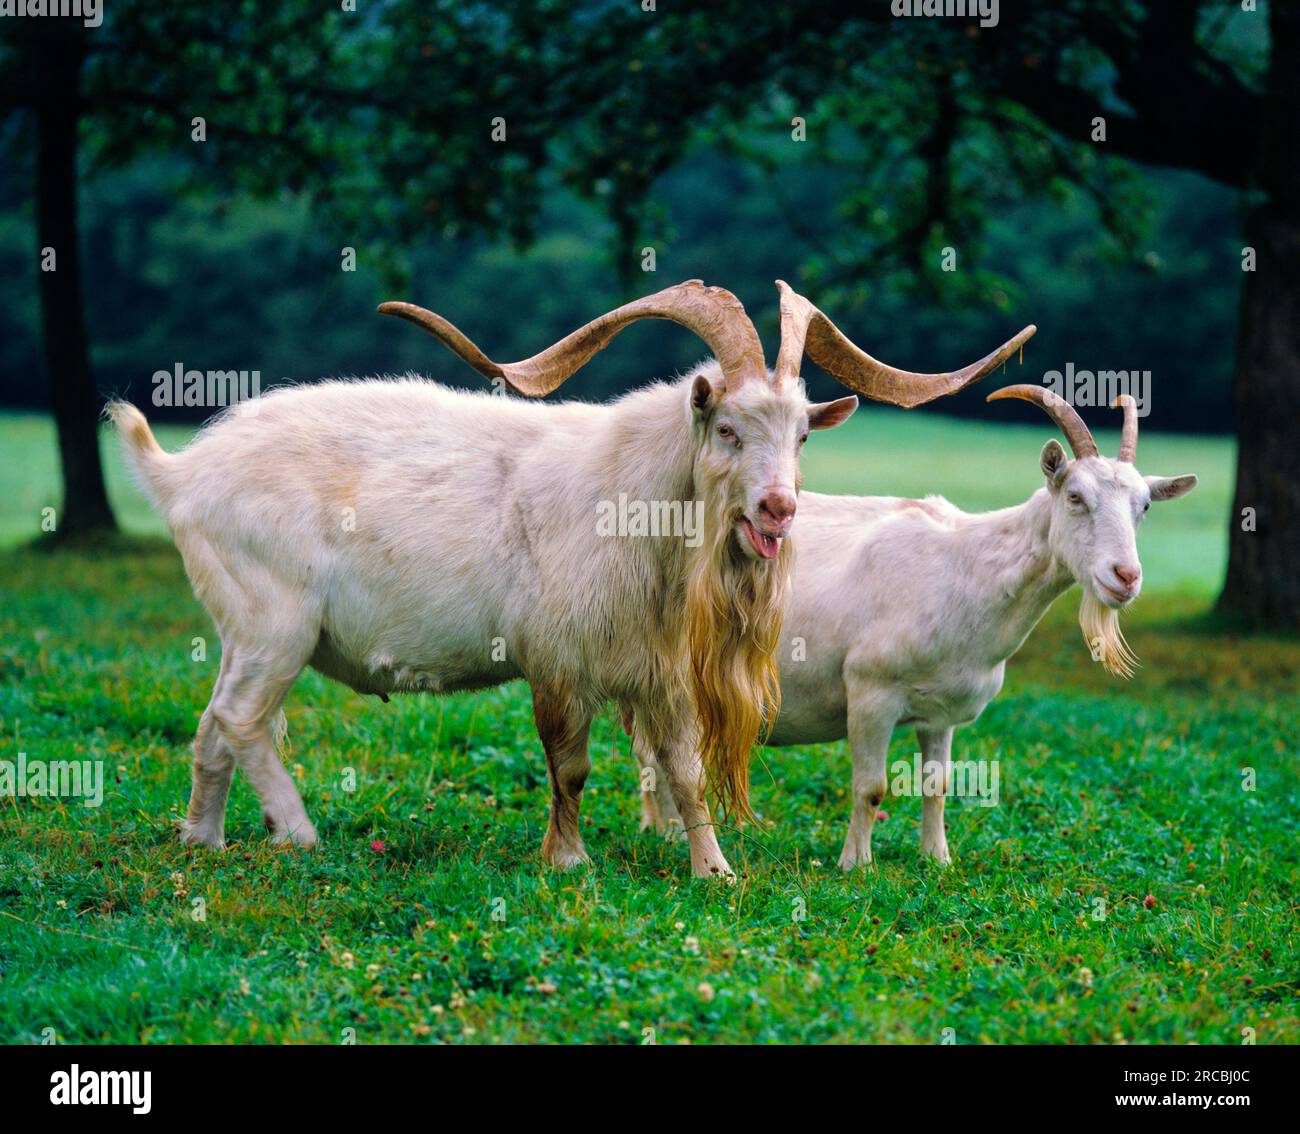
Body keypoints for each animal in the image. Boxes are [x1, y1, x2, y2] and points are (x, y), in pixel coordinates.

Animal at [106, 280, 1029, 879]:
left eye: (803, 434)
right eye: (727, 428)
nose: (778, 510)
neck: (634, 503)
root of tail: (183, 475)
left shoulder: (660, 672)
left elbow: (683, 769)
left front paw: (712, 868)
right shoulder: (557, 660)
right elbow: (570, 767)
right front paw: (569, 860)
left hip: (242, 630)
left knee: (212, 724)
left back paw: (202, 839)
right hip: (277, 622)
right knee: (242, 721)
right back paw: (297, 834)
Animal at [631, 387, 1196, 868]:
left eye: (1144, 505)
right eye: (1075, 496)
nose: (1125, 577)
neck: (967, 568)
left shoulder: (940, 712)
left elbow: (937, 785)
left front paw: (937, 859)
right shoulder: (870, 693)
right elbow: (871, 787)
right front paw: (856, 865)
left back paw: (665, 834)